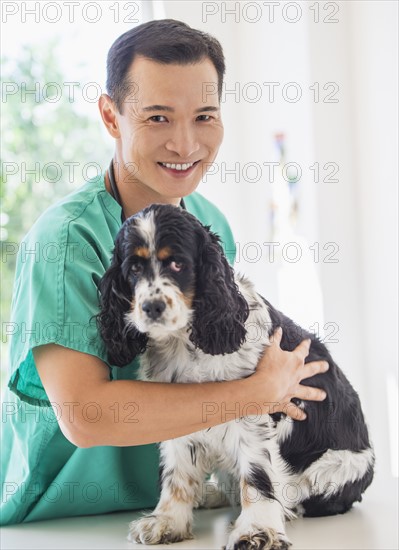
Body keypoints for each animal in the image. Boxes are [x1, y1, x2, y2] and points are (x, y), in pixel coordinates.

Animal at [98, 204, 376, 550]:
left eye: (178, 263)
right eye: (134, 268)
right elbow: (177, 474)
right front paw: (167, 521)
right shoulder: (177, 417)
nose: (151, 307)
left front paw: (257, 530)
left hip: (336, 469)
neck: (186, 341)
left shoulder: (253, 411)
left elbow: (257, 475)